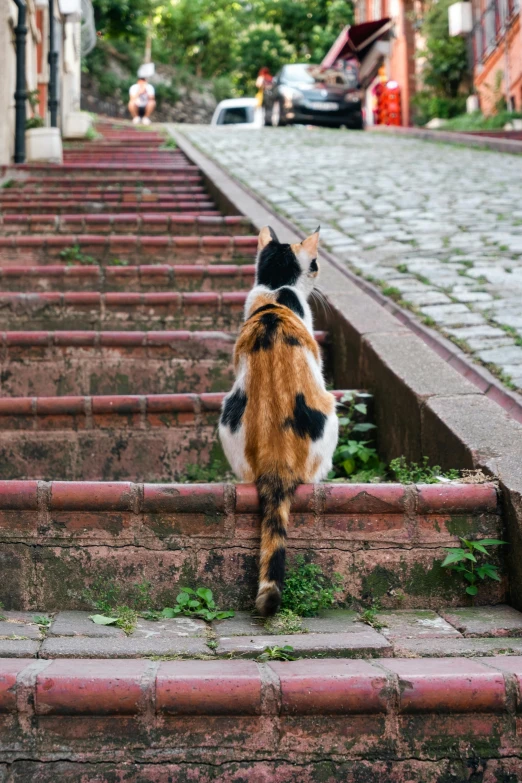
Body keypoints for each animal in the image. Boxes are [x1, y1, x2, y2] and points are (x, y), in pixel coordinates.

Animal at [218, 224, 338, 616]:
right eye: (315, 264)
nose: (319, 273)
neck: (275, 290)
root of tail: (277, 460)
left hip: (226, 416)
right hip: (330, 413)